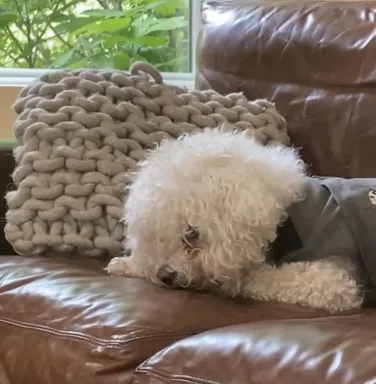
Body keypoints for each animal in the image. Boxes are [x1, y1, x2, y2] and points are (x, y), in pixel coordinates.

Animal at [106, 127, 376, 314]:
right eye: (159, 238)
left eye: (192, 234)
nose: (164, 276)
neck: (283, 218)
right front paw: (129, 264)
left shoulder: (333, 279)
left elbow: (254, 277)